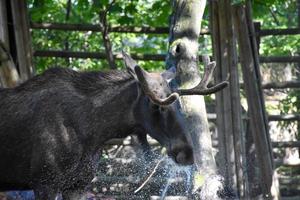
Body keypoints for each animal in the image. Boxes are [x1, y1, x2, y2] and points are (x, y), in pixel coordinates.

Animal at [0, 51, 225, 198]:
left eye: (178, 103)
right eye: (155, 103)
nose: (187, 153)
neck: (94, 134)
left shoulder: (77, 185)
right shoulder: (44, 182)